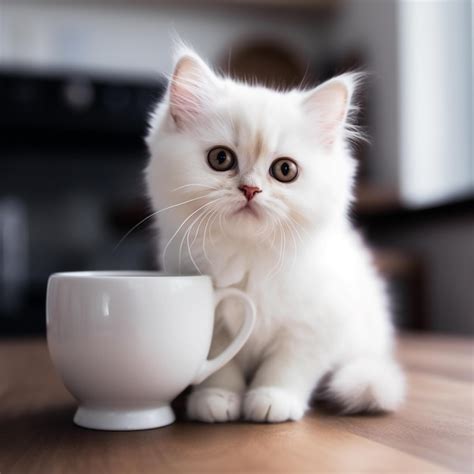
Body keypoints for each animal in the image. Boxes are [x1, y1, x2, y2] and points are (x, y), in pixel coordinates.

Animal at [144, 45, 404, 422]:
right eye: (220, 159)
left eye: (285, 170)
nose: (250, 189)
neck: (249, 256)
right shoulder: (215, 324)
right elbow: (220, 366)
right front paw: (218, 399)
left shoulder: (316, 325)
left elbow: (287, 366)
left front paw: (271, 400)